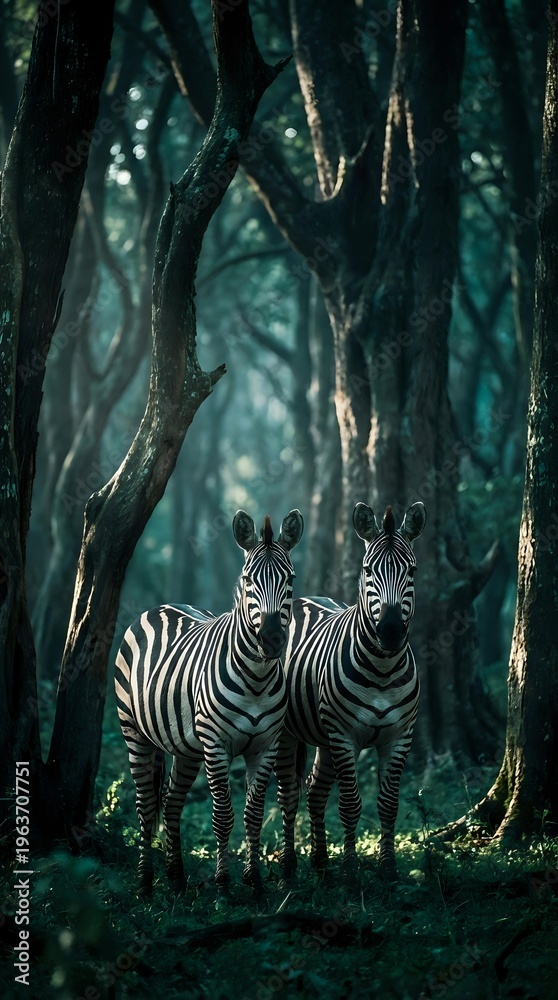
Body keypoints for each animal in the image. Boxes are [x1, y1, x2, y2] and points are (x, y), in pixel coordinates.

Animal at [115, 508, 304, 895]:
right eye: (247, 581)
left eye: (290, 579)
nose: (272, 639)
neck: (257, 680)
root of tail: (162, 606)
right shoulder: (216, 745)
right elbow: (222, 814)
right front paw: (223, 882)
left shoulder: (266, 745)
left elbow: (253, 814)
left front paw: (254, 880)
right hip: (133, 732)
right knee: (145, 806)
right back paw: (144, 882)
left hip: (186, 747)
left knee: (171, 802)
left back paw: (176, 877)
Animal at [274, 501, 426, 881]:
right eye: (368, 570)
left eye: (412, 571)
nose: (390, 630)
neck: (382, 672)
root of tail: (305, 599)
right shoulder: (345, 735)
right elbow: (350, 804)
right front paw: (351, 867)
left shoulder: (399, 736)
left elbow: (388, 804)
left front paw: (387, 867)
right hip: (289, 733)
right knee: (289, 793)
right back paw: (289, 865)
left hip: (325, 739)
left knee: (314, 791)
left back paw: (320, 861)